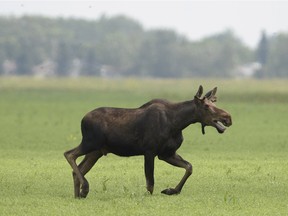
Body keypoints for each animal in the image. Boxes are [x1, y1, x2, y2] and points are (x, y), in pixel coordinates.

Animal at [64, 85, 232, 198]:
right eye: (206, 106)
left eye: (215, 103)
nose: (228, 117)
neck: (178, 123)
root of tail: (83, 119)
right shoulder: (149, 151)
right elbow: (150, 183)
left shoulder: (167, 153)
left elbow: (189, 167)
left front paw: (171, 190)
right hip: (90, 143)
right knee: (69, 154)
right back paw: (85, 188)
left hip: (96, 151)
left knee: (77, 169)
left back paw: (78, 195)